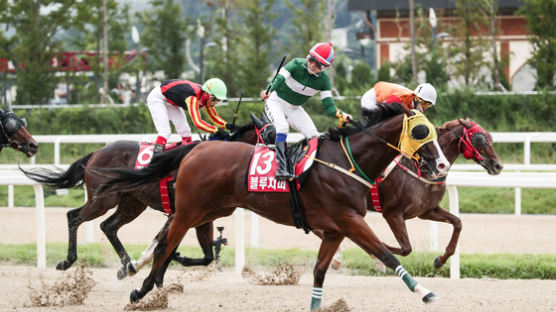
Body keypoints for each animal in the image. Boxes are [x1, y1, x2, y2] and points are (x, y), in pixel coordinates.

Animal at [19, 120, 258, 280]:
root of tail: (96, 152)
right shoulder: (185, 213)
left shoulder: (195, 215)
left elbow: (202, 253)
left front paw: (153, 262)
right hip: (103, 200)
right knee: (74, 216)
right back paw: (68, 260)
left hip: (132, 203)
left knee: (108, 226)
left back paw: (126, 266)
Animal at [95, 103, 452, 308]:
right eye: (421, 132)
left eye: (436, 132)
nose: (442, 166)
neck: (347, 162)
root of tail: (196, 149)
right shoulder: (350, 220)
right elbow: (388, 255)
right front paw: (425, 292)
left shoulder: (335, 229)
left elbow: (320, 270)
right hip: (189, 210)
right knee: (164, 244)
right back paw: (140, 288)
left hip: (212, 210)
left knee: (165, 242)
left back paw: (145, 277)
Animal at [322, 118, 504, 270]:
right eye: (479, 139)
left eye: (489, 137)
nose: (498, 165)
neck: (423, 170)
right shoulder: (393, 214)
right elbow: (406, 248)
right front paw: (377, 253)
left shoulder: (426, 211)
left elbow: (458, 223)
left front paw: (440, 260)